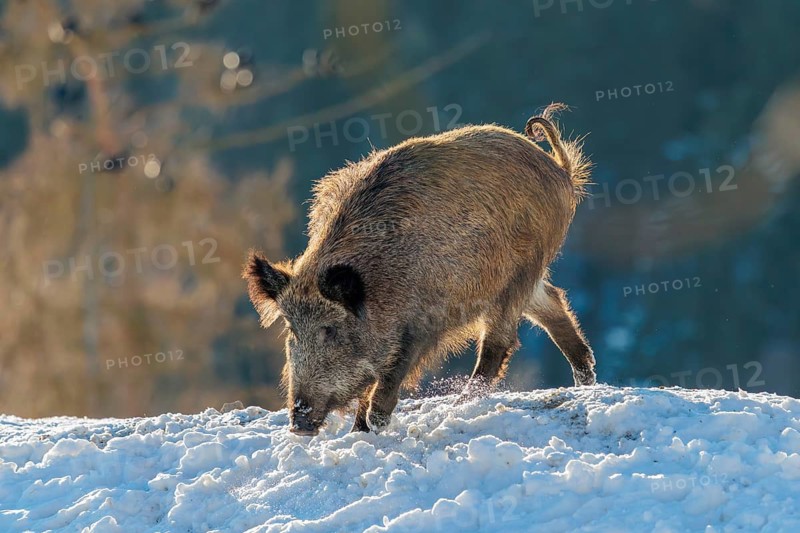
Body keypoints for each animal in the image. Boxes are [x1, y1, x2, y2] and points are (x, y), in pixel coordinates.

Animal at [244, 103, 596, 436]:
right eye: (292, 330)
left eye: (329, 329)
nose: (298, 424)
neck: (381, 281)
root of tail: (560, 170)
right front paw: (358, 431)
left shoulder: (422, 324)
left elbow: (390, 376)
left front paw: (374, 425)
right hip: (524, 279)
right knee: (552, 302)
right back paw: (586, 380)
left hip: (518, 275)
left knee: (501, 341)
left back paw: (463, 403)